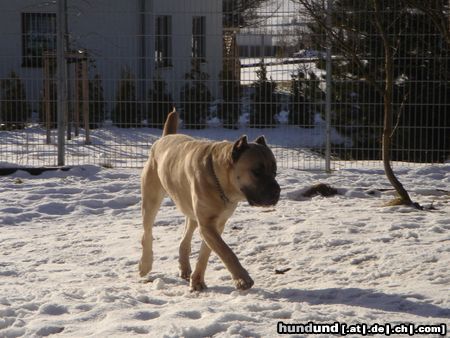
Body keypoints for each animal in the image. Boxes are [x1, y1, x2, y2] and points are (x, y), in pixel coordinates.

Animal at [141, 110, 280, 290]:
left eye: (275, 171)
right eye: (256, 171)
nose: (277, 192)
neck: (220, 179)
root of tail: (164, 138)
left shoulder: (216, 224)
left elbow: (206, 253)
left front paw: (197, 280)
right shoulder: (207, 224)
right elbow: (227, 252)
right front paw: (242, 278)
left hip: (190, 210)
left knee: (185, 239)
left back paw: (184, 267)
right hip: (151, 201)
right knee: (147, 233)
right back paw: (144, 265)